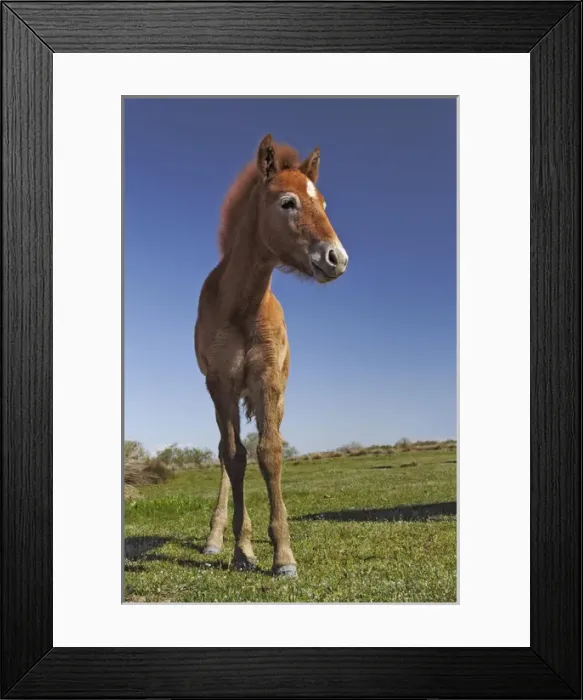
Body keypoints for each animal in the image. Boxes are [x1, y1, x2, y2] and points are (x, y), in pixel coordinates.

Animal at [194, 134, 348, 577]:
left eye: (324, 203)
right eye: (288, 202)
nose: (337, 258)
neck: (242, 307)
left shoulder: (268, 382)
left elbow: (270, 454)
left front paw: (283, 555)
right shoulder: (220, 384)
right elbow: (234, 456)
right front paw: (242, 550)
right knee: (225, 455)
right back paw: (217, 539)